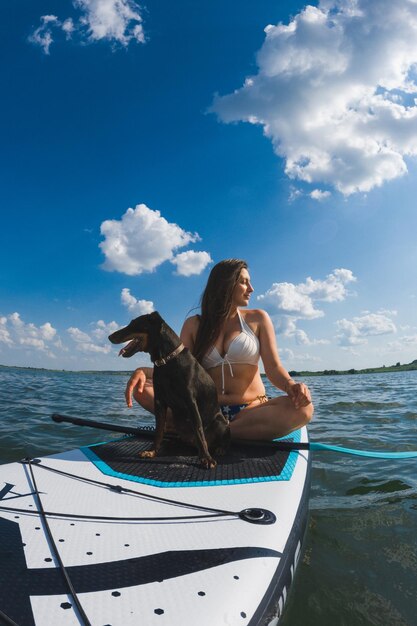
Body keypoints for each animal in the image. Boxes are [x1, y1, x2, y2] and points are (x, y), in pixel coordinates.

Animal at [107, 310, 229, 466]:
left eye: (134, 324)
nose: (110, 337)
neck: (166, 361)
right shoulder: (159, 401)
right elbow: (159, 429)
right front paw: (151, 451)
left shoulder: (190, 401)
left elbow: (198, 429)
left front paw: (206, 459)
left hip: (221, 422)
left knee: (219, 439)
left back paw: (219, 449)